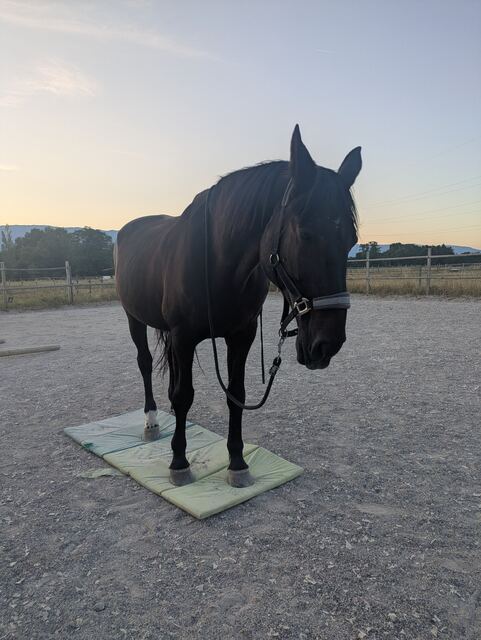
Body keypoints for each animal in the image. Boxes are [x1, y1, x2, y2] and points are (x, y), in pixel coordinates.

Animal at [115, 125, 361, 487]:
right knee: (145, 364)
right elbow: (184, 395)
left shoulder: (240, 336)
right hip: (134, 318)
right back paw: (151, 421)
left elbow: (236, 395)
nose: (327, 344)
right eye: (305, 233)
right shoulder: (184, 336)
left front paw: (237, 463)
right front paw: (179, 462)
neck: (217, 261)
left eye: (352, 241)